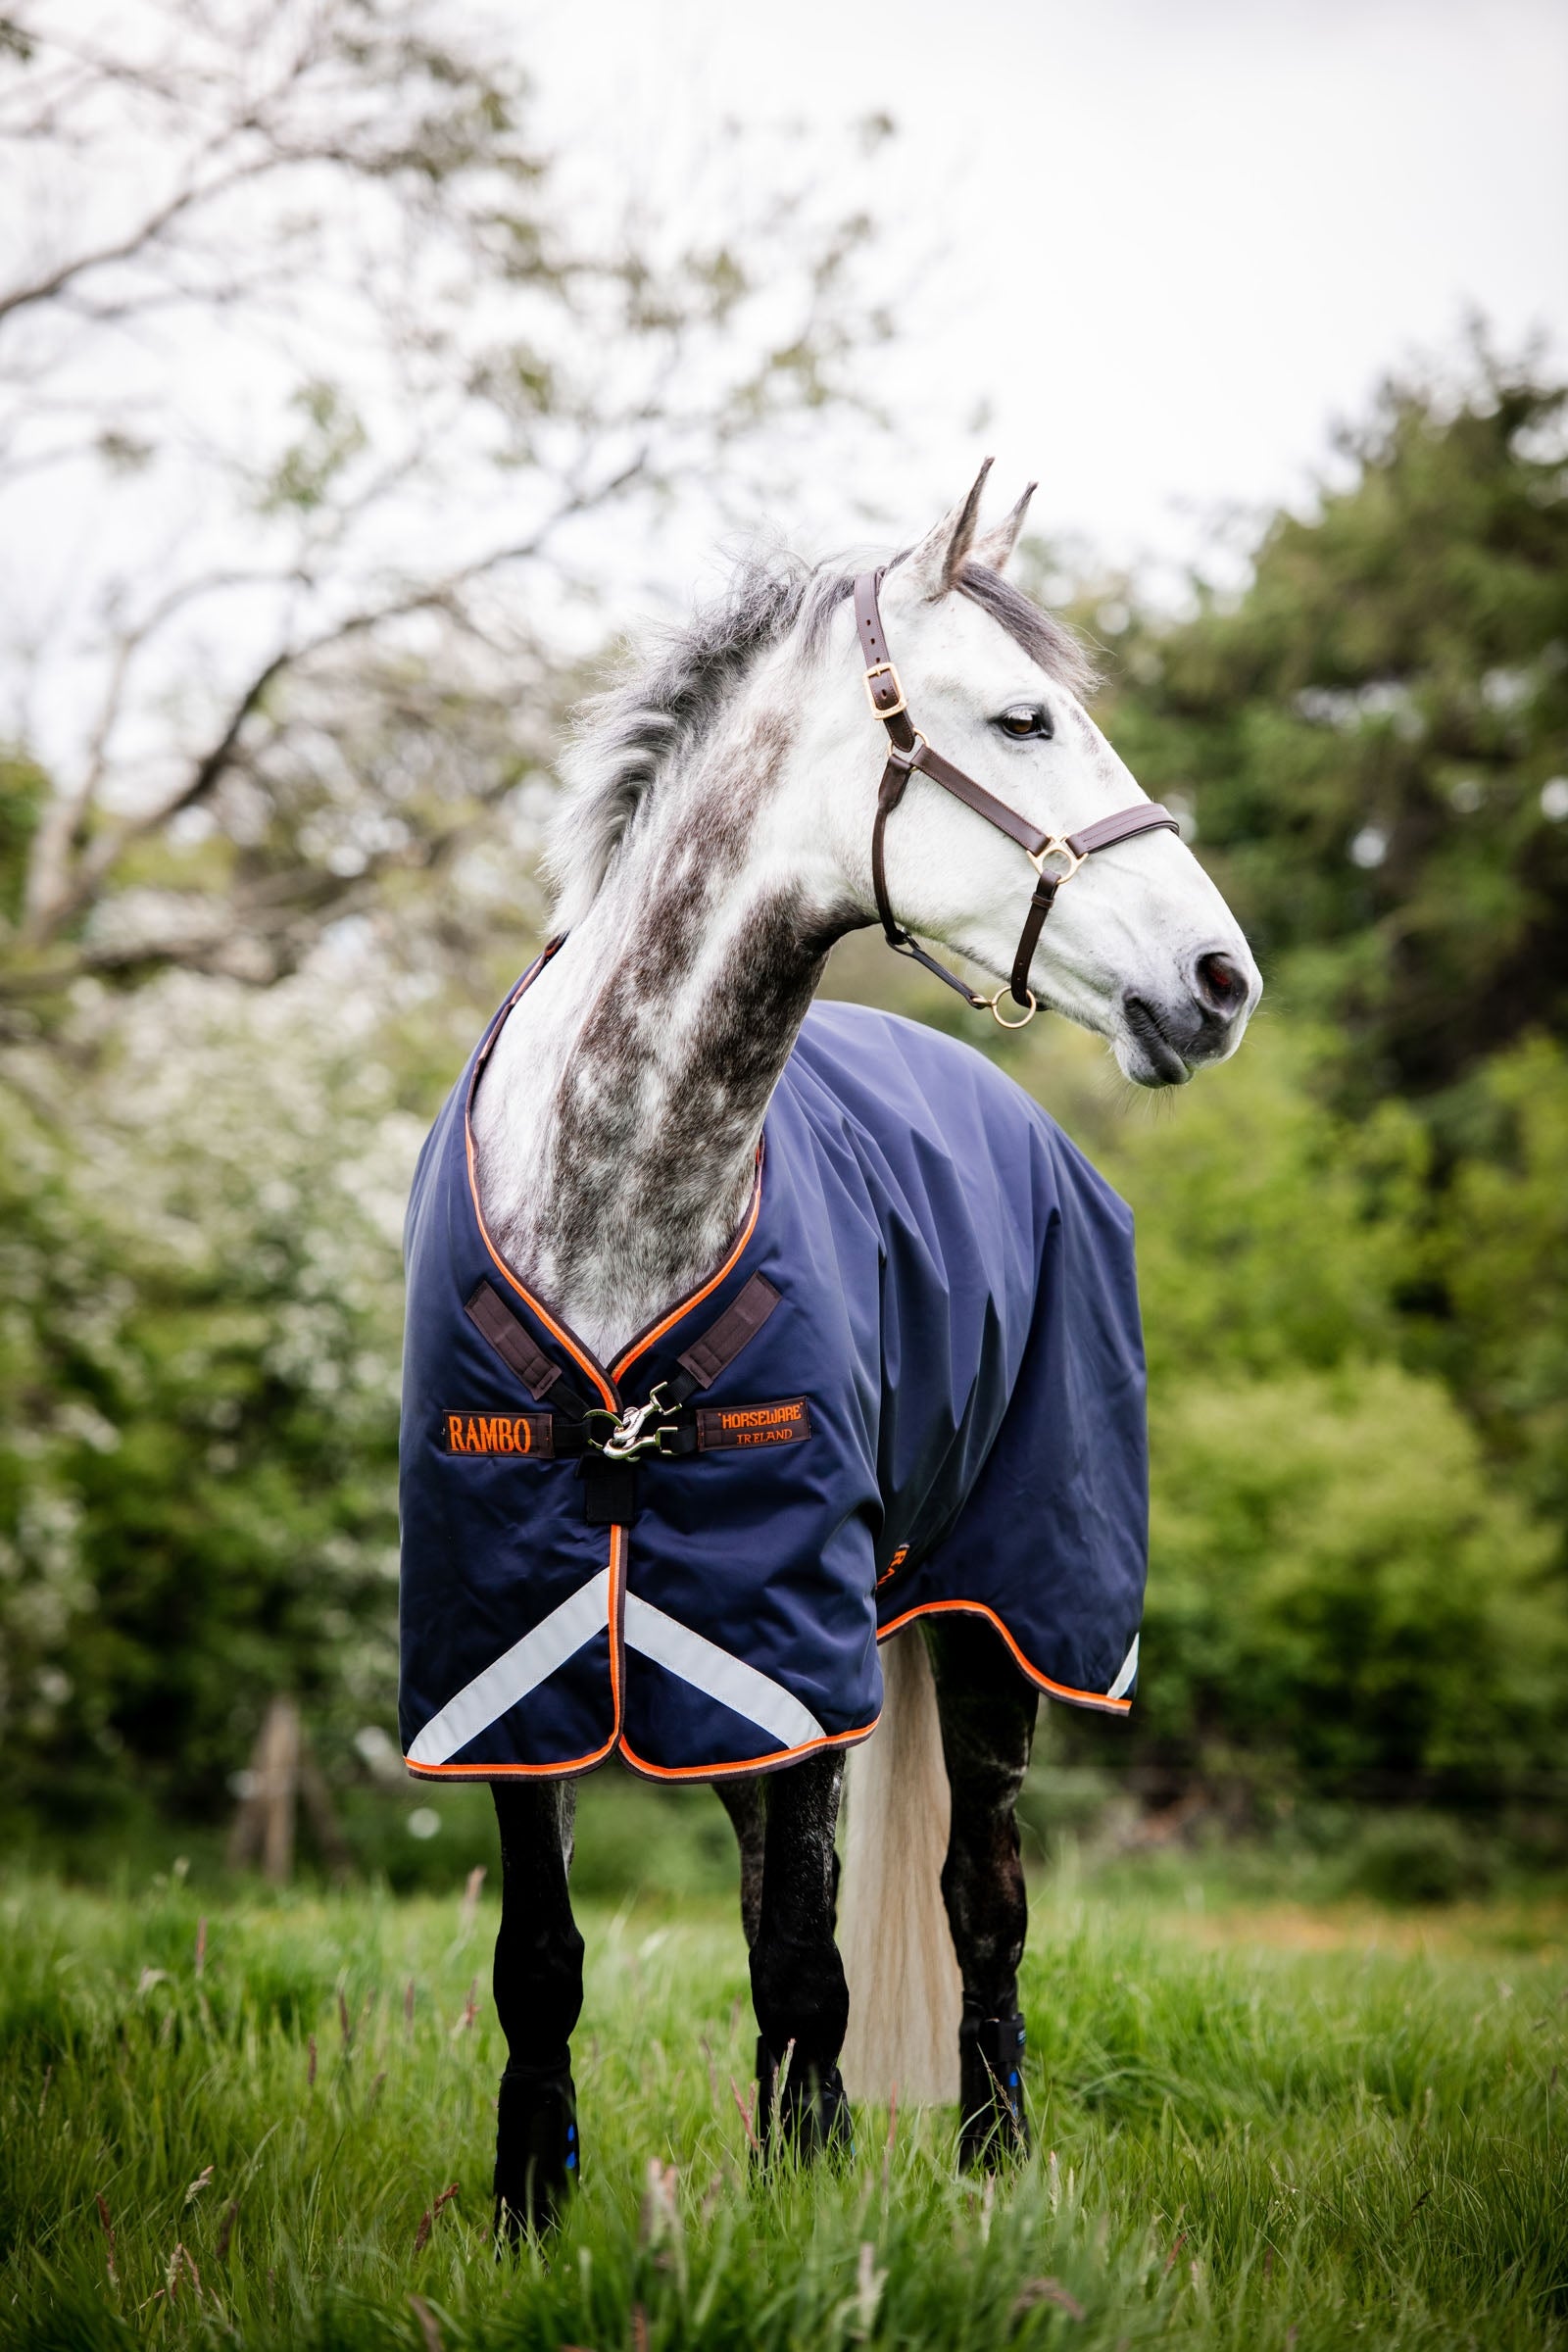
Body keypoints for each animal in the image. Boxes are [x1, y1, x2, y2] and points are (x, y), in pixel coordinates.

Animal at [399, 463, 1260, 2235]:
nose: (1220, 983)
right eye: (1021, 717)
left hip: (1006, 1617)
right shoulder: (506, 1631)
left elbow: (809, 1959)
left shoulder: (788, 1625)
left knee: (979, 1899)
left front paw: (804, 2209)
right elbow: (545, 1958)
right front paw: (531, 2209)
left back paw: (992, 2166)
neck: (617, 1198)